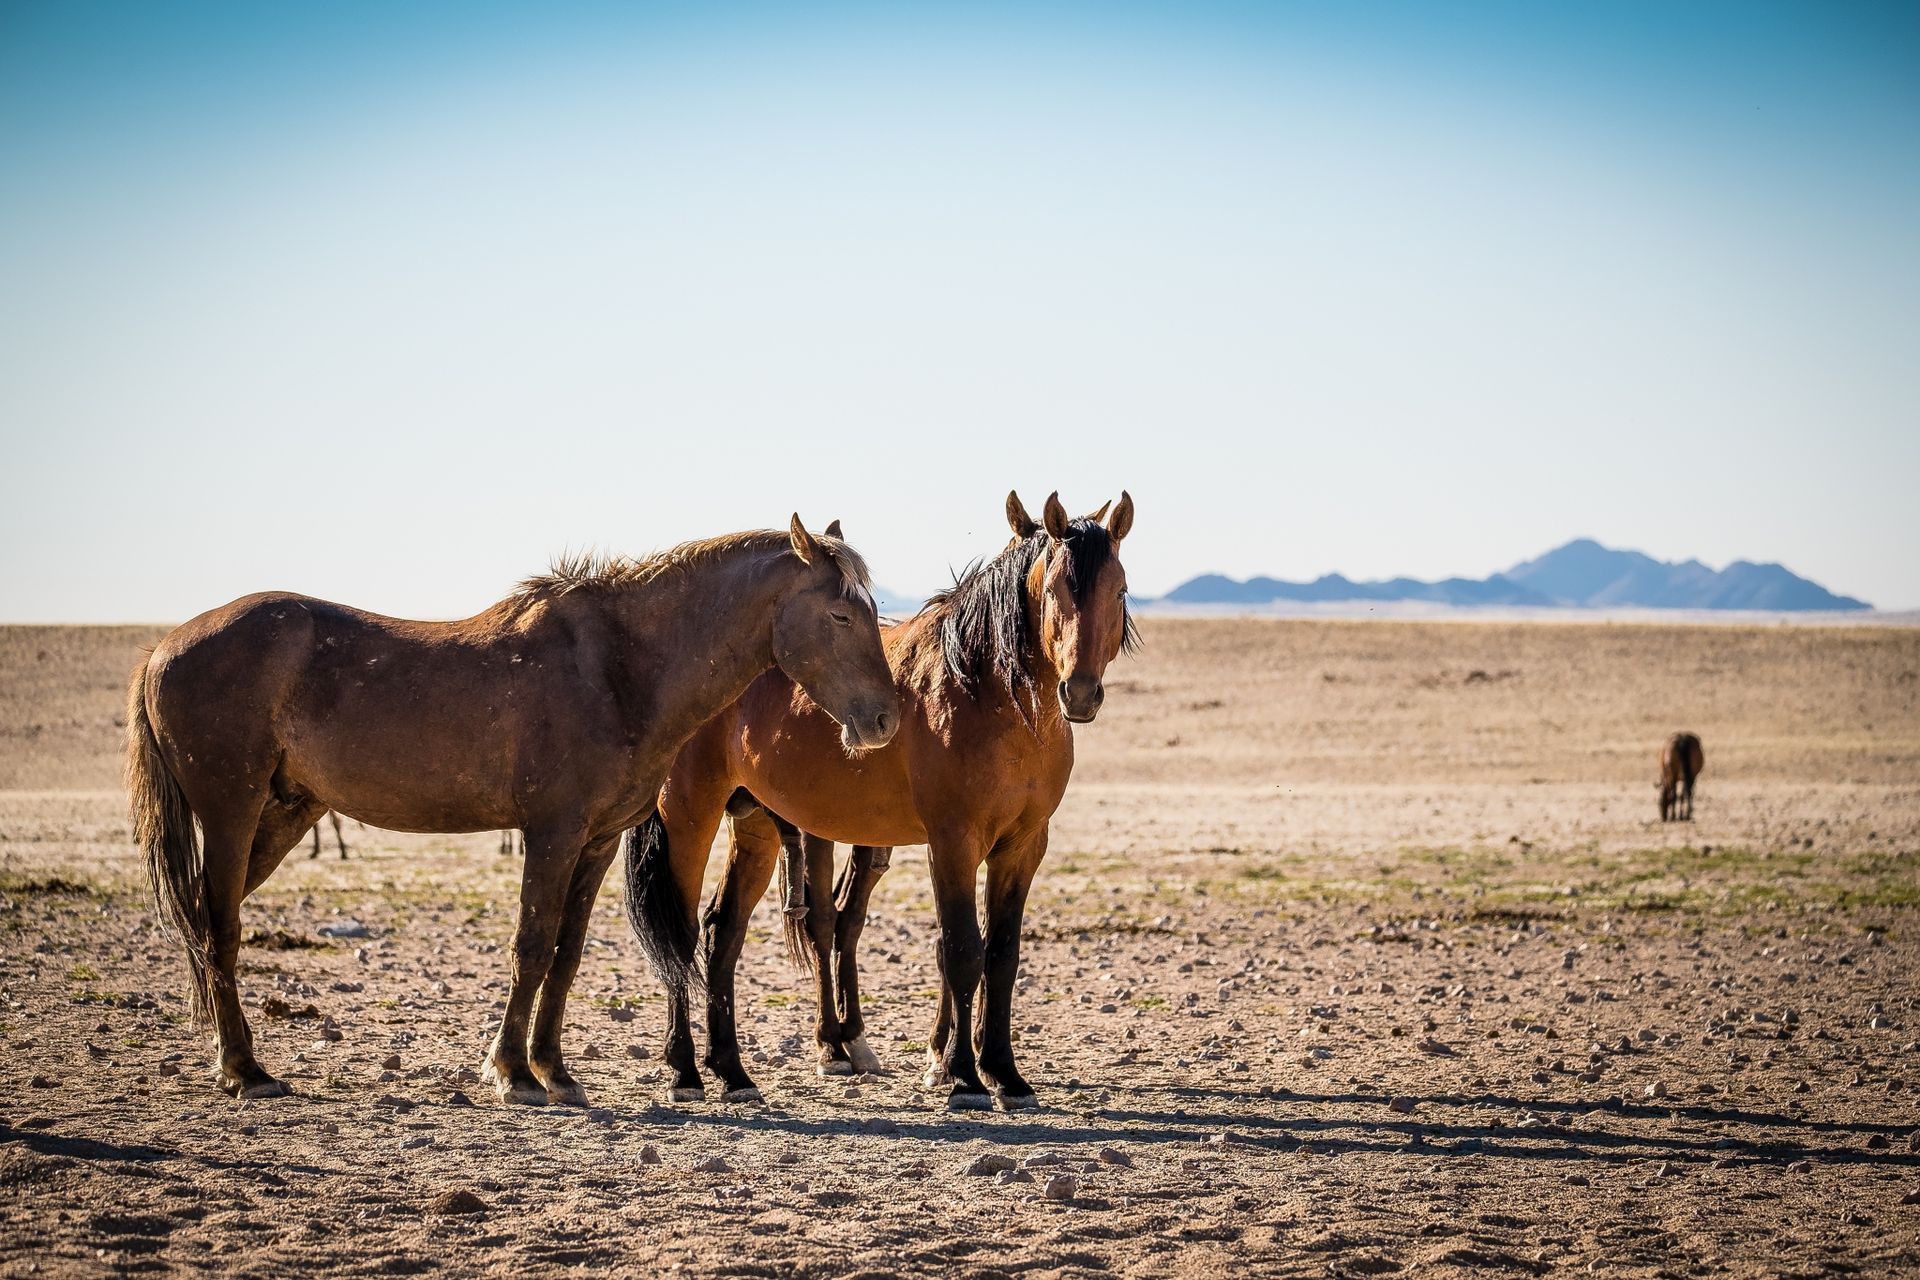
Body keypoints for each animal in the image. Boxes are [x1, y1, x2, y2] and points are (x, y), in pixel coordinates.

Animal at [126, 518, 900, 1104]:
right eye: (840, 613)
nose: (886, 720)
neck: (621, 668)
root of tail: (163, 646)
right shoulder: (551, 834)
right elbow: (531, 946)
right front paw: (512, 1072)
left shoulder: (594, 842)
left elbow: (566, 954)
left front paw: (553, 1069)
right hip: (231, 814)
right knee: (218, 928)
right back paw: (244, 1068)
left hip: (283, 817)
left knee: (204, 919)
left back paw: (226, 1054)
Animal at [625, 490, 1135, 1110]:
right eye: (1058, 589)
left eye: (1119, 590)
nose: (1079, 693)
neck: (989, 694)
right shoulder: (953, 842)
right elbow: (962, 950)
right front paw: (963, 1077)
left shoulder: (1022, 847)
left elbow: (1003, 956)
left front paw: (1006, 1075)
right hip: (690, 816)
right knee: (681, 931)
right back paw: (684, 1070)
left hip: (757, 826)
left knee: (725, 929)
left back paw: (732, 1071)